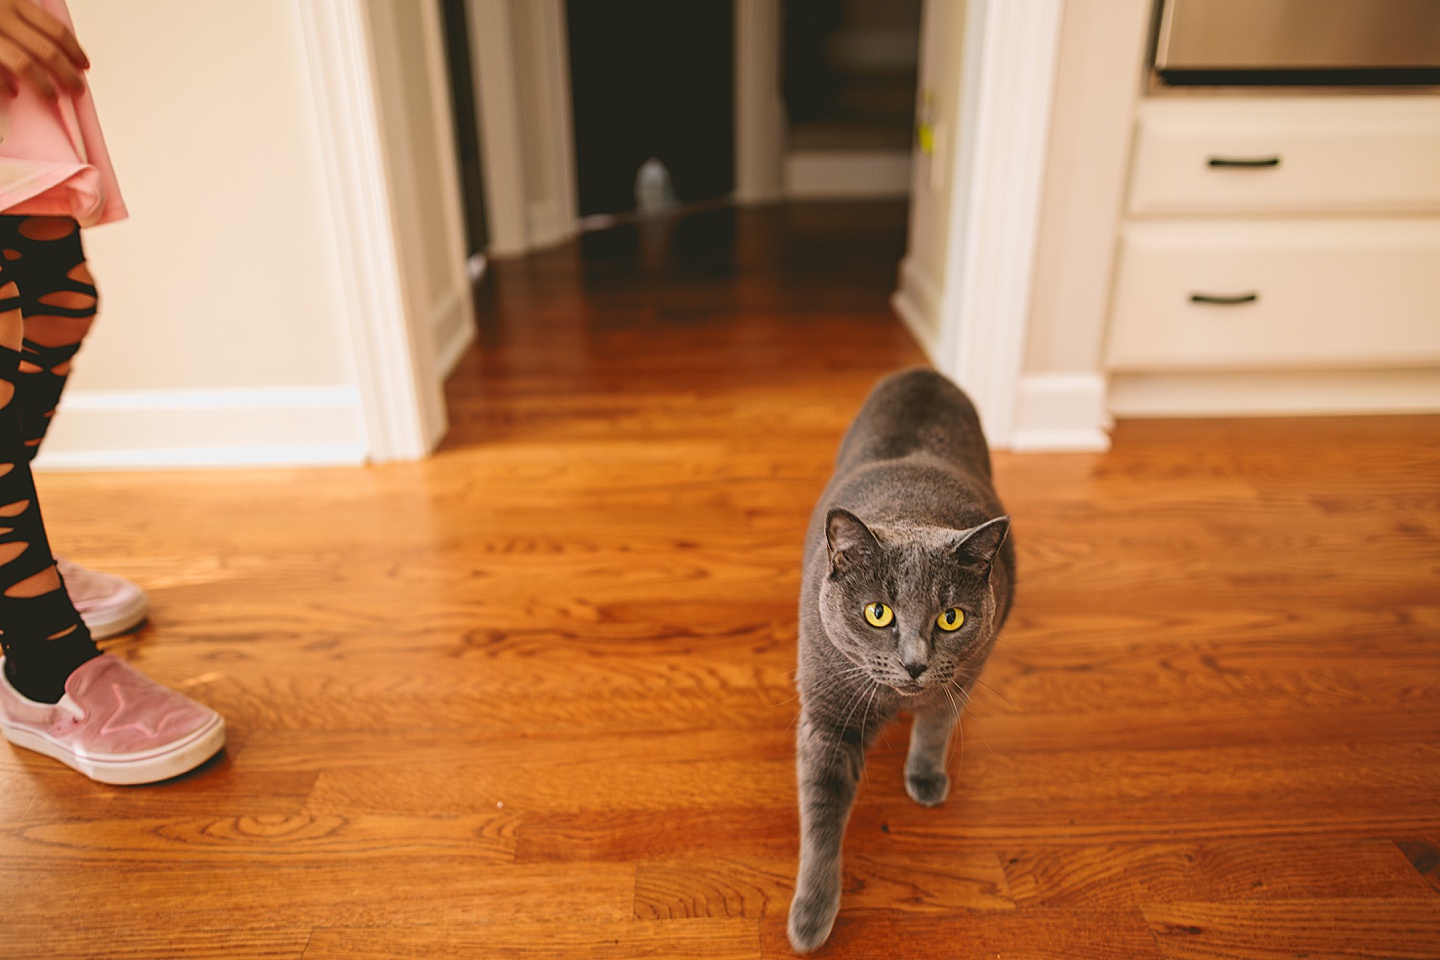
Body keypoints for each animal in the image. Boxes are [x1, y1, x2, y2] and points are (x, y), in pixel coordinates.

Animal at [789, 368, 1013, 955]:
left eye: (951, 619)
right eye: (878, 613)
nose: (914, 663)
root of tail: (925, 373)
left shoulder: (971, 669)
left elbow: (936, 724)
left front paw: (927, 777)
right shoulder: (828, 715)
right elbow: (822, 811)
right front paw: (811, 916)